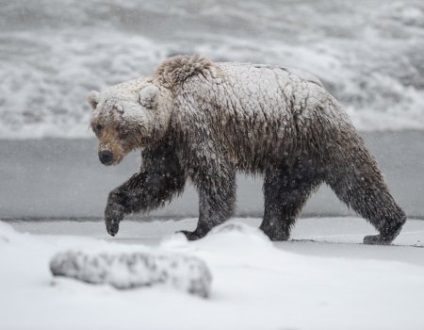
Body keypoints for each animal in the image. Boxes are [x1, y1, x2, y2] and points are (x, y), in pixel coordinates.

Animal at [88, 54, 406, 245]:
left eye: (121, 126)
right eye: (99, 125)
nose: (105, 155)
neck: (172, 112)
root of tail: (326, 91)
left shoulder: (198, 128)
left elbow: (213, 176)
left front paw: (196, 230)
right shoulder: (167, 143)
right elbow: (156, 180)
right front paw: (112, 218)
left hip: (317, 133)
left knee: (356, 179)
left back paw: (385, 229)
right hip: (290, 154)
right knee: (283, 191)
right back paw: (268, 230)